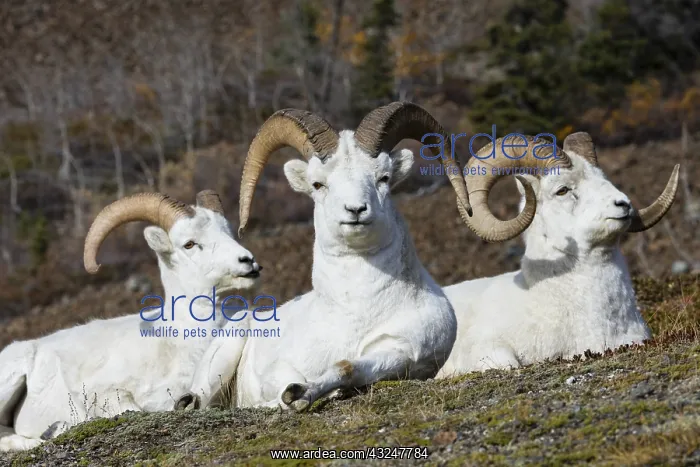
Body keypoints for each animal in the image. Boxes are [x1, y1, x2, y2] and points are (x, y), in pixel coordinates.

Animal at [174, 101, 539, 412]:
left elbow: (347, 367)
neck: (357, 312)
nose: (356, 210)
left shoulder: (400, 352)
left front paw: (303, 394)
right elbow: (282, 383)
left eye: (384, 177)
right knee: (199, 401)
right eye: (318, 184)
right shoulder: (279, 367)